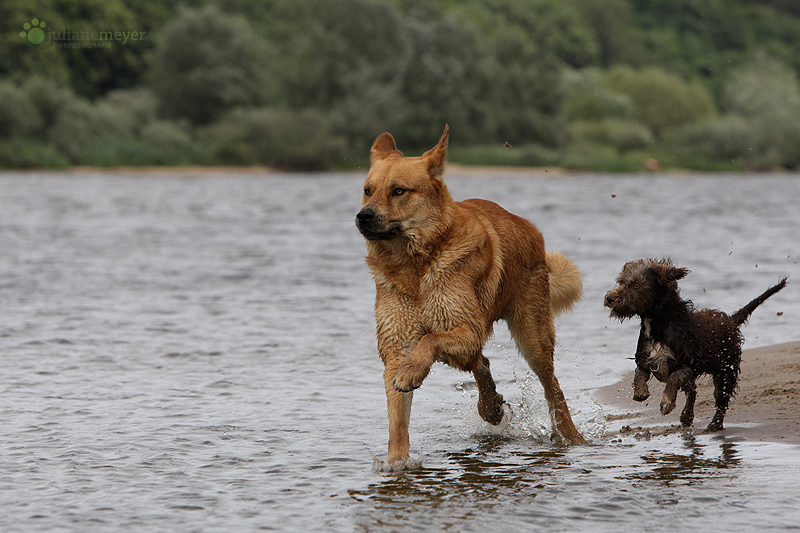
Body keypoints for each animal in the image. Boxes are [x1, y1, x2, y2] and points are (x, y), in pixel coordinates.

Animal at [356, 124, 588, 466]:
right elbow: (397, 420)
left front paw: (413, 370)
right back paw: (490, 406)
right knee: (482, 362)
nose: (363, 216)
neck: (415, 265)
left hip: (532, 336)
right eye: (367, 190)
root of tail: (531, 231)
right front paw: (397, 463)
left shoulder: (465, 327)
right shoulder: (396, 346)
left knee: (552, 387)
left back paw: (569, 436)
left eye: (398, 191)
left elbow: (430, 340)